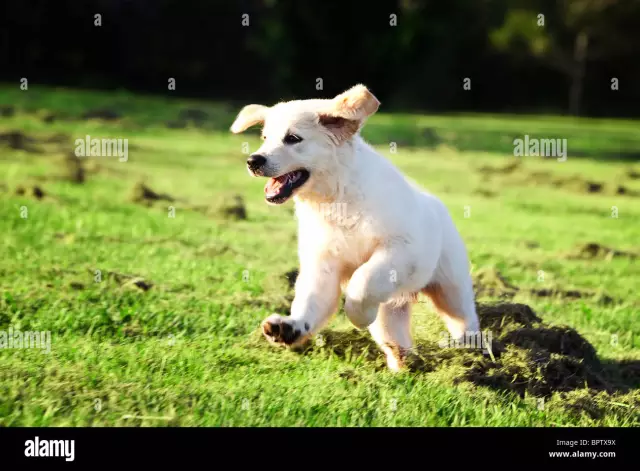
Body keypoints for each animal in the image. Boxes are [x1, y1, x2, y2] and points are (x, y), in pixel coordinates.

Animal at [232, 85, 478, 372]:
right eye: (265, 137)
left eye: (293, 138)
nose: (253, 160)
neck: (336, 200)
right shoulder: (322, 264)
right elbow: (310, 301)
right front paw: (290, 327)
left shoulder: (401, 249)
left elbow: (363, 279)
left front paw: (358, 316)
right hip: (394, 308)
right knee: (395, 334)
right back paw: (403, 365)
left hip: (450, 287)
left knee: (464, 318)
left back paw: (472, 355)